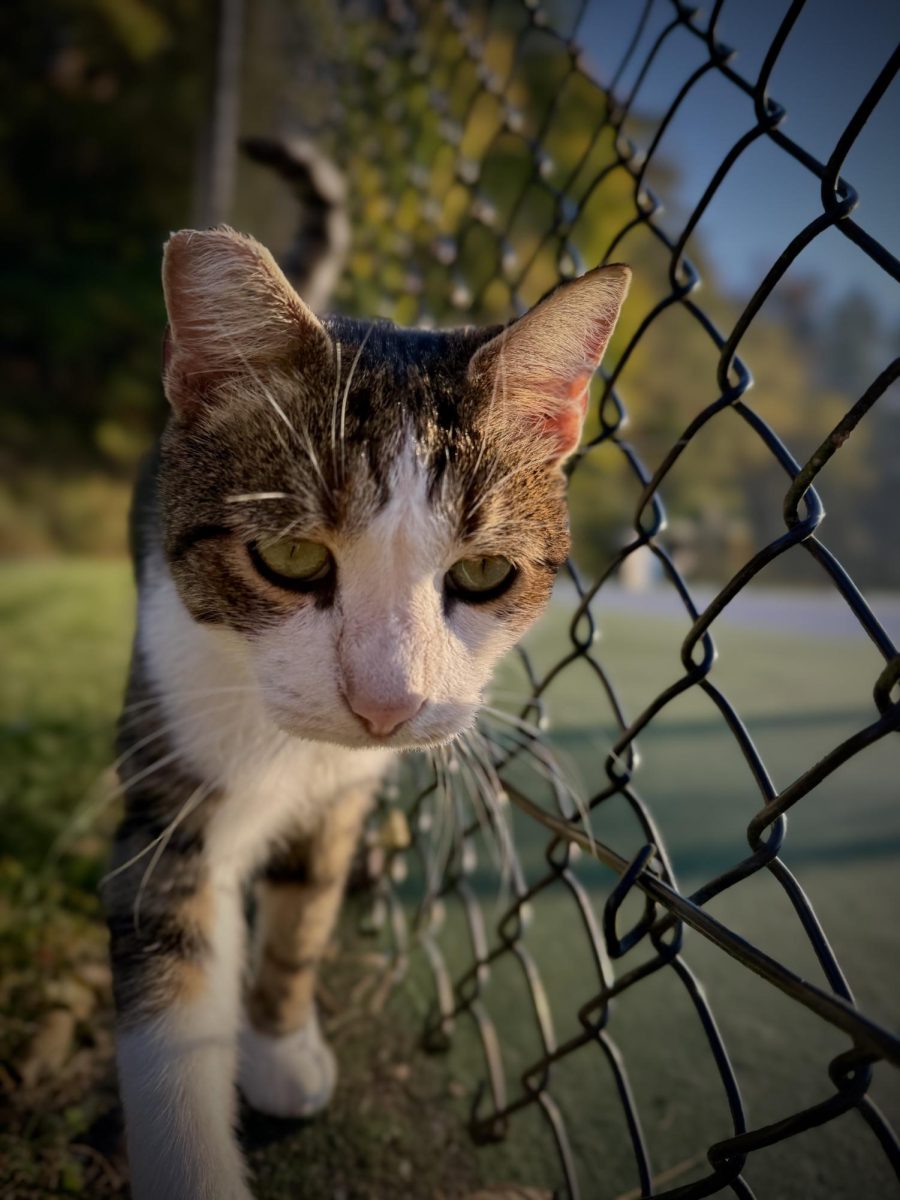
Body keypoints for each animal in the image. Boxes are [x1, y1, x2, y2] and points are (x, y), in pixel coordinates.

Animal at [103, 226, 628, 1200]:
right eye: (288, 556)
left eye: (485, 573)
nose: (387, 703)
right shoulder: (171, 775)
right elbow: (172, 974)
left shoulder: (344, 786)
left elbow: (307, 902)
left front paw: (280, 1042)